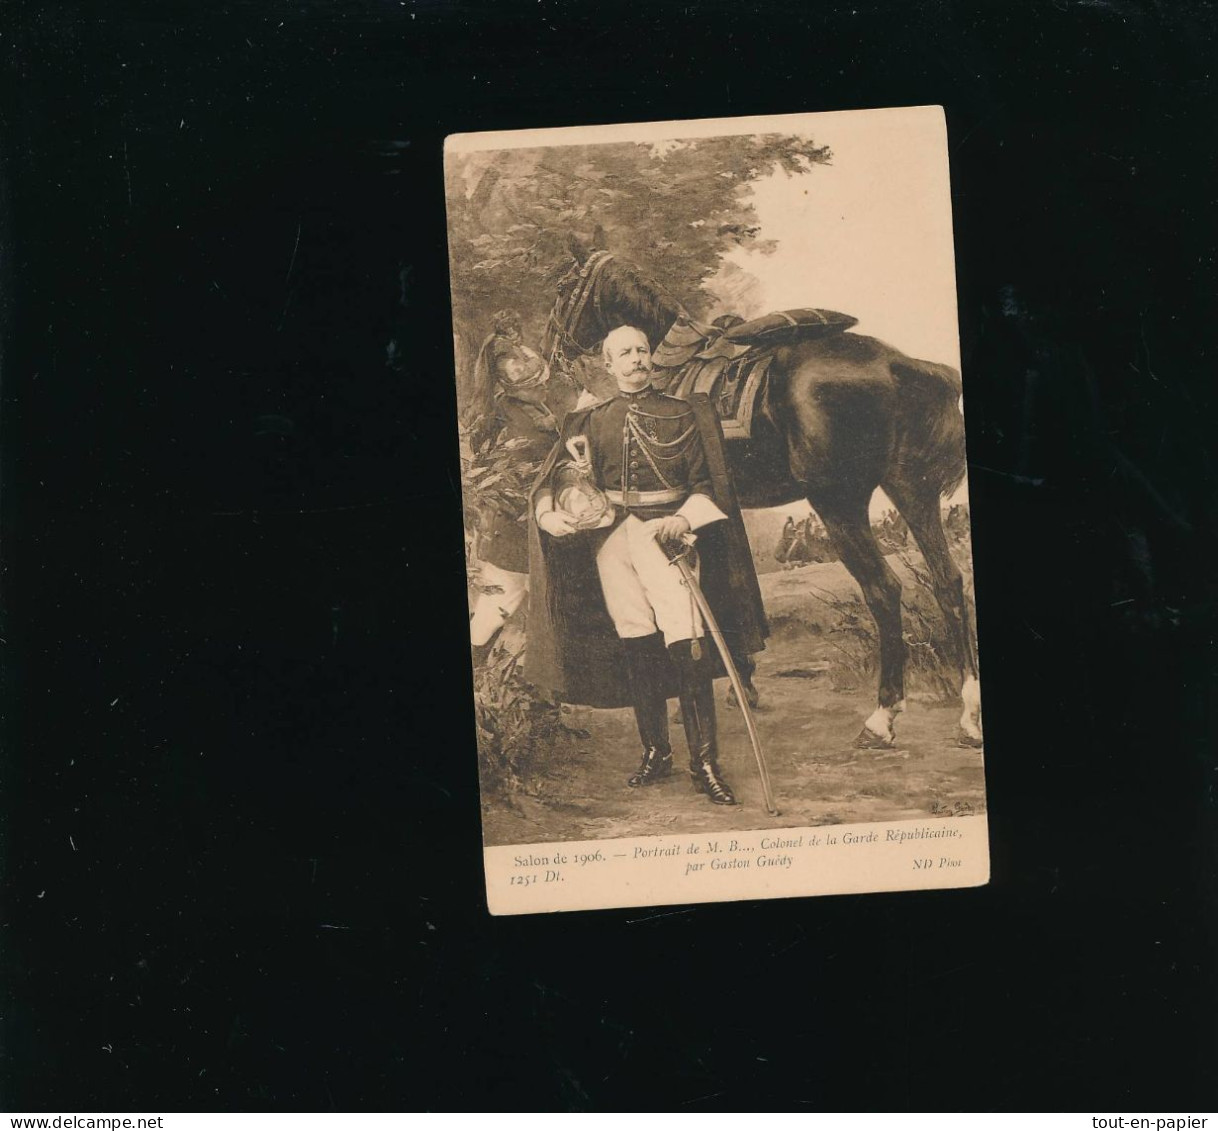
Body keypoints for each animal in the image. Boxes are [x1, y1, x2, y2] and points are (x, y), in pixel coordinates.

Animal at [543, 247, 979, 745]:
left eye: (563, 289)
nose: (551, 352)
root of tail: (897, 365)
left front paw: (733, 685)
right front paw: (742, 683)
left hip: (838, 504)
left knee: (883, 590)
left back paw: (882, 716)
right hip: (913, 492)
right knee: (948, 583)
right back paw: (969, 713)